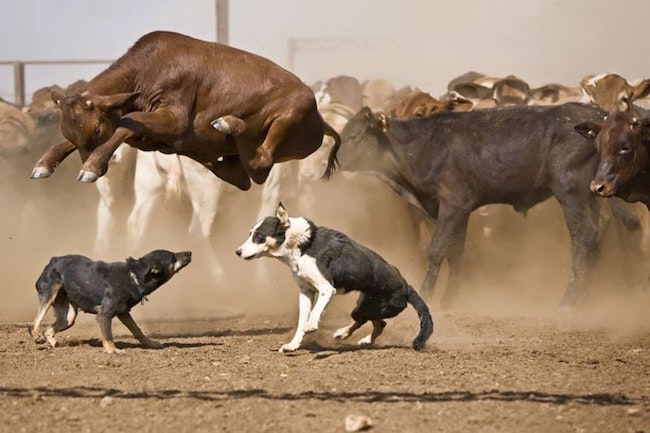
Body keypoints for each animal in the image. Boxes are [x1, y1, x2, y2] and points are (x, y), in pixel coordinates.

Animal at [29, 250, 192, 354]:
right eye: (173, 258)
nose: (190, 252)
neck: (134, 276)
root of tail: (53, 260)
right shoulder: (104, 315)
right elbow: (108, 335)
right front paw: (112, 350)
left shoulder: (123, 312)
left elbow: (137, 330)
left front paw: (151, 344)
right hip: (49, 294)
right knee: (35, 322)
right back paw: (36, 335)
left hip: (68, 317)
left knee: (48, 330)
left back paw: (54, 343)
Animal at [236, 203, 433, 353]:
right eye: (250, 233)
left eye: (259, 236)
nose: (237, 252)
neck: (303, 244)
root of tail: (406, 286)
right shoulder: (306, 292)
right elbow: (301, 321)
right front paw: (293, 345)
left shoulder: (326, 288)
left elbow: (314, 313)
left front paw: (311, 326)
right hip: (365, 305)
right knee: (378, 324)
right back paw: (352, 337)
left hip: (373, 308)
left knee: (370, 321)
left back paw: (346, 334)